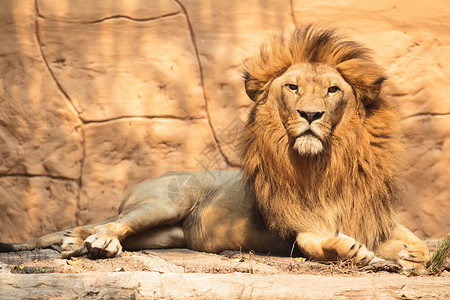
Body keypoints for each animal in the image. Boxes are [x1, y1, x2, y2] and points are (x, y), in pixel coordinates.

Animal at [0, 24, 428, 270]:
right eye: (293, 87)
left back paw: (80, 242)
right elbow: (315, 241)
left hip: (167, 234)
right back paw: (93, 243)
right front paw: (352, 251)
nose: (310, 114)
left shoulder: (373, 215)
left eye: (332, 90)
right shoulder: (293, 225)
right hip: (163, 202)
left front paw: (408, 254)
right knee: (110, 223)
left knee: (109, 228)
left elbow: (416, 245)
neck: (325, 165)